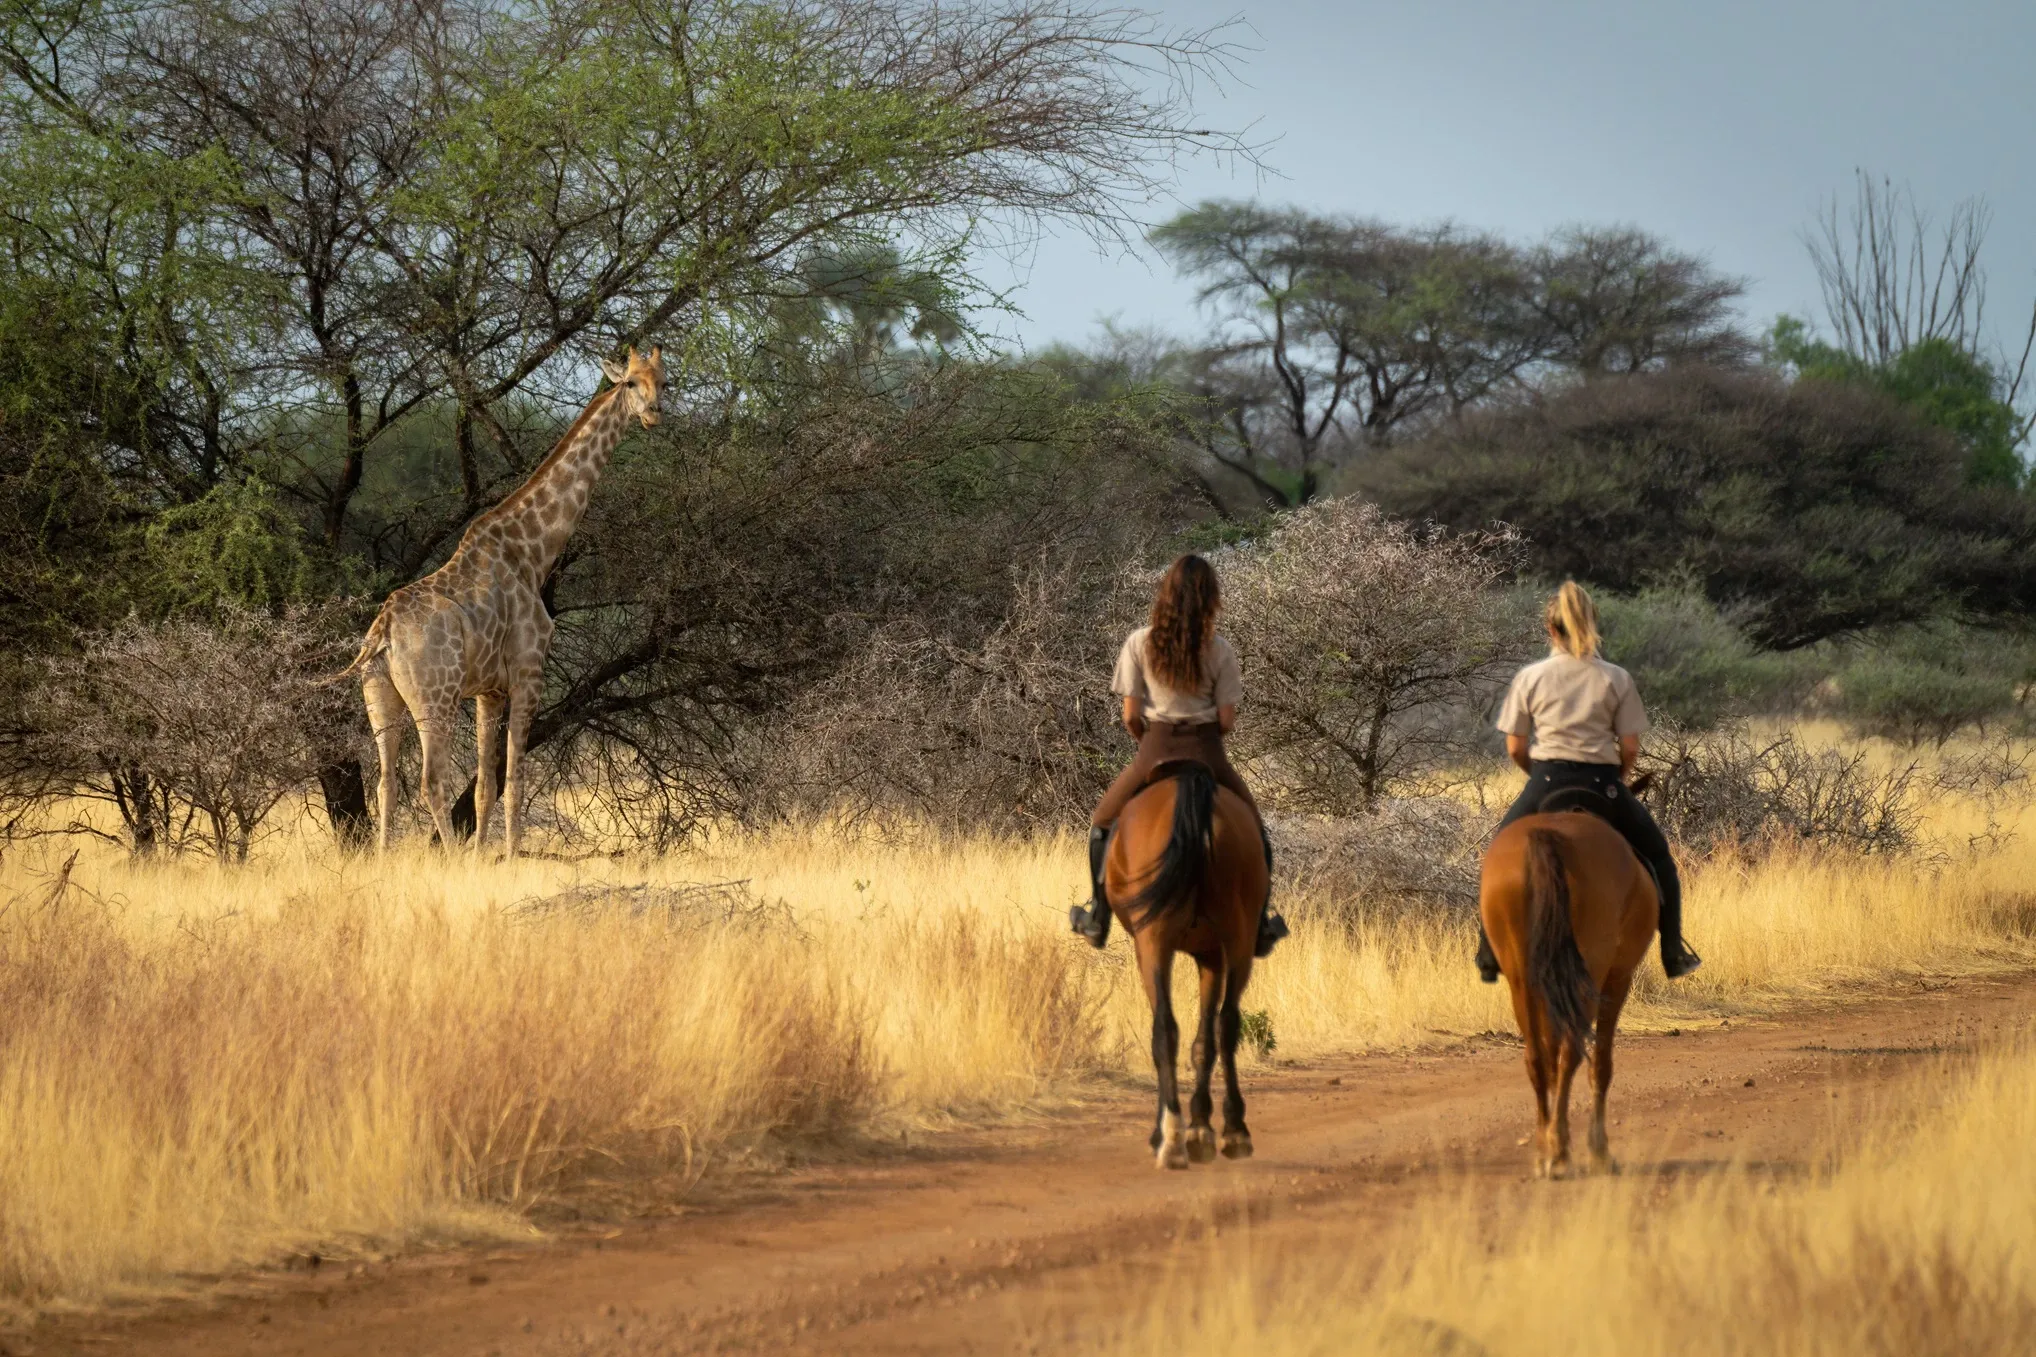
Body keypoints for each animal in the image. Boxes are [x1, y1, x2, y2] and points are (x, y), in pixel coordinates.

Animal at [1105, 761, 1270, 1170]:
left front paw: (1189, 1127)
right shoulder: (1211, 954)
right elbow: (1204, 1041)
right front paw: (1201, 1128)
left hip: (1153, 942)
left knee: (1166, 1028)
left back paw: (1172, 1138)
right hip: (1238, 940)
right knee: (1224, 1024)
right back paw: (1229, 1133)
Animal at [1479, 805, 1658, 1179]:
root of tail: (1546, 836)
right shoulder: (1617, 979)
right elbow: (1601, 1064)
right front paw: (1600, 1151)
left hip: (1523, 978)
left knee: (1538, 1057)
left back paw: (1546, 1151)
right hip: (1588, 977)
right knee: (1571, 1054)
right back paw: (1561, 1151)